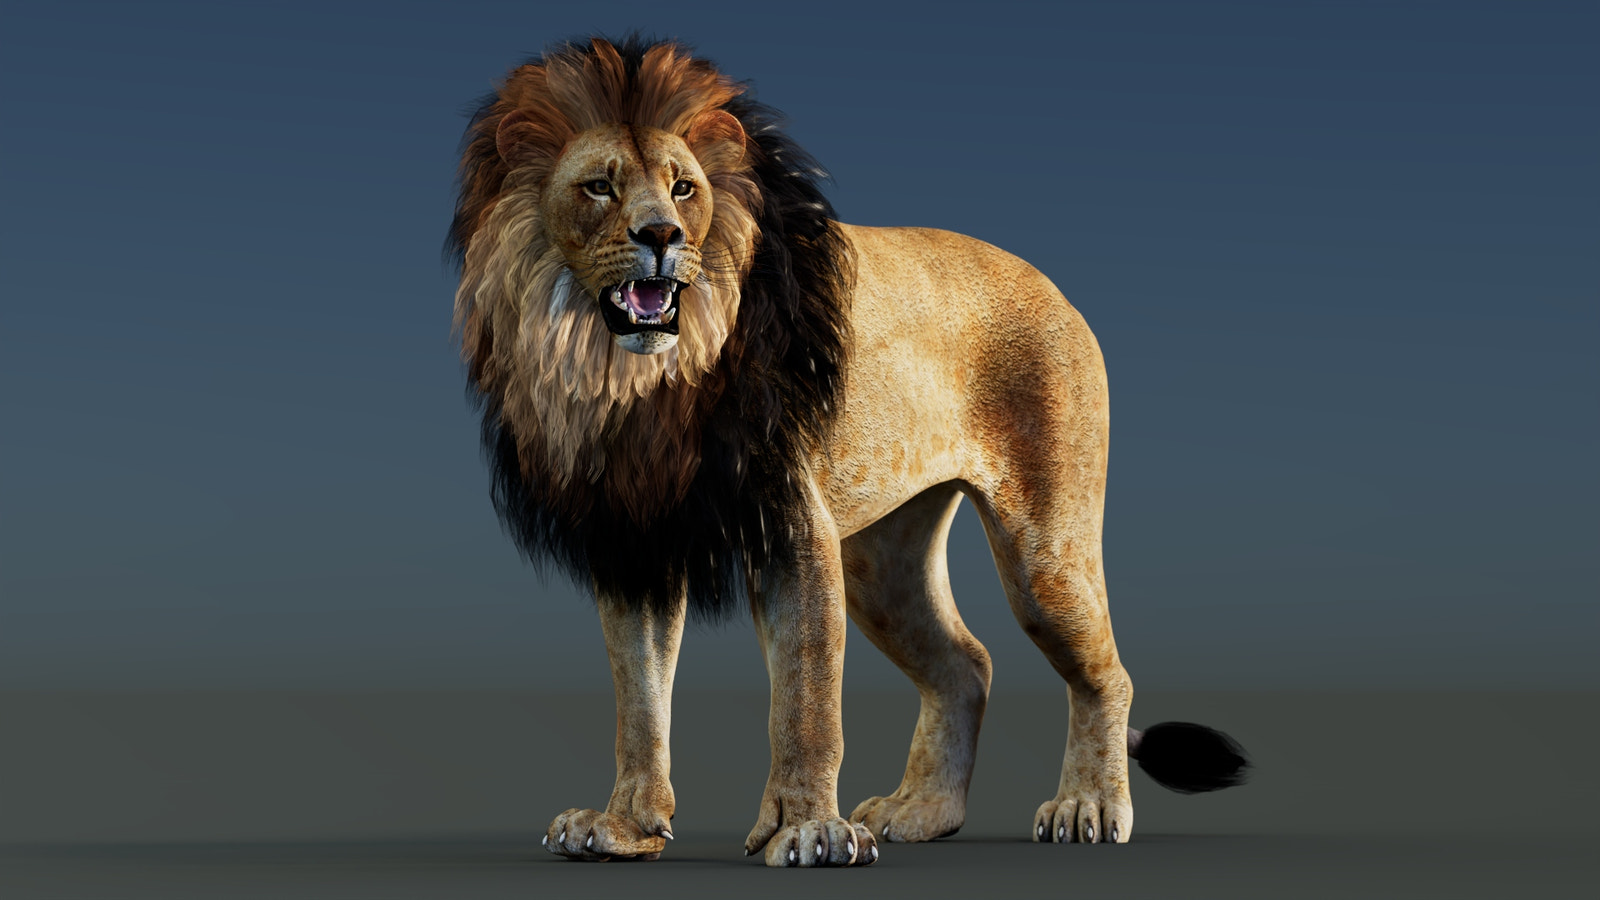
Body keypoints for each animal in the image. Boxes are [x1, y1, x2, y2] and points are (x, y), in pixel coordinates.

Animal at [449, 37, 1248, 868]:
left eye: (683, 189)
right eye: (599, 187)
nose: (662, 236)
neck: (632, 380)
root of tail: (1054, 287)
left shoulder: (791, 532)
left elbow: (805, 701)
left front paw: (809, 830)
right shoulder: (637, 543)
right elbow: (638, 700)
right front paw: (624, 826)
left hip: (1043, 552)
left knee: (1104, 675)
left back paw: (1087, 803)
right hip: (881, 563)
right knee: (967, 665)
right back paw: (922, 809)